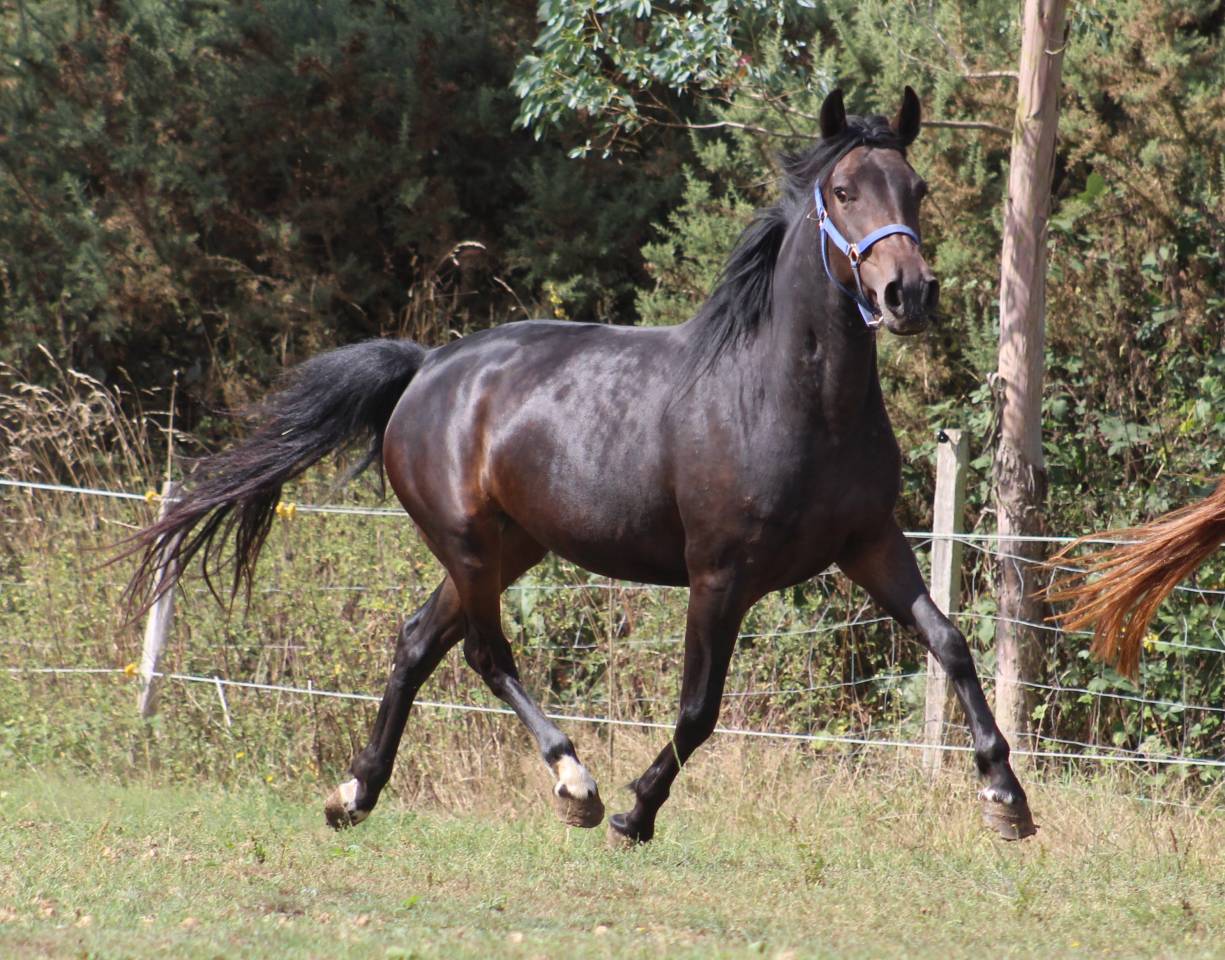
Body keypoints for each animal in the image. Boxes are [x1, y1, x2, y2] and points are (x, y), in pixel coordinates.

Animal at [125, 87, 1036, 845]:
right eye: (844, 192)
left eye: (916, 188)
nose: (907, 294)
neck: (787, 398)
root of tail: (427, 367)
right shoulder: (719, 575)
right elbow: (697, 710)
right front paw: (636, 812)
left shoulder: (869, 545)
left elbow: (949, 643)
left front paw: (1005, 798)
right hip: (467, 545)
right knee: (484, 656)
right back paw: (576, 783)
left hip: (508, 547)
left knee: (416, 643)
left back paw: (354, 795)